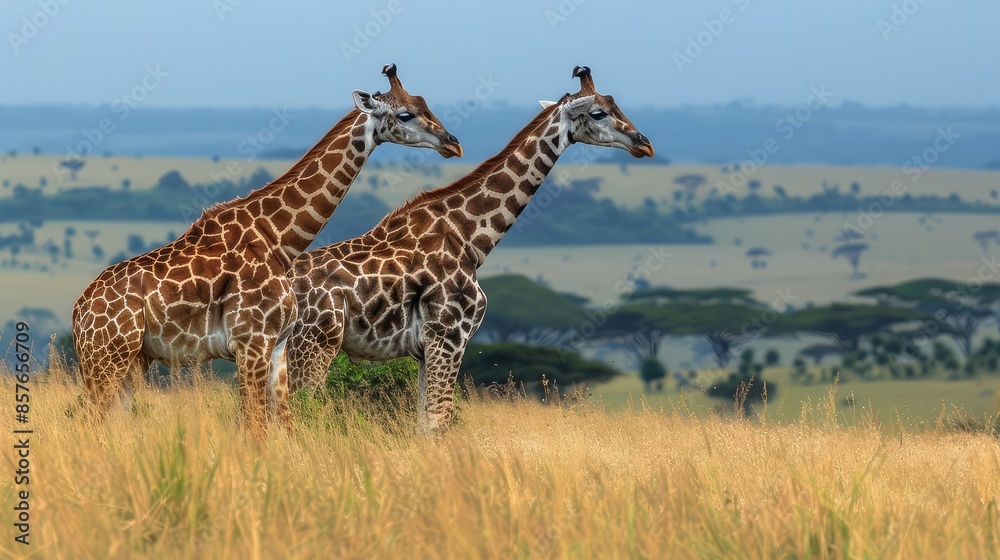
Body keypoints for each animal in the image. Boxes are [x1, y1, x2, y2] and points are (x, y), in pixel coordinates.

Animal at [72, 64, 462, 435]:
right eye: (406, 114)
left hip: (133, 361)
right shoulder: (251, 342)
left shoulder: (276, 346)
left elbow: (285, 426)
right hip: (106, 358)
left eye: (426, 104)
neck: (279, 240)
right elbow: (255, 427)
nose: (453, 144)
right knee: (88, 421)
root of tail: (79, 313)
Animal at [286, 66, 653, 433]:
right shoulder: (448, 336)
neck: (470, 237)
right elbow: (439, 421)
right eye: (598, 112)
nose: (644, 144)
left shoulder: (426, 348)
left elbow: (425, 423)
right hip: (314, 346)